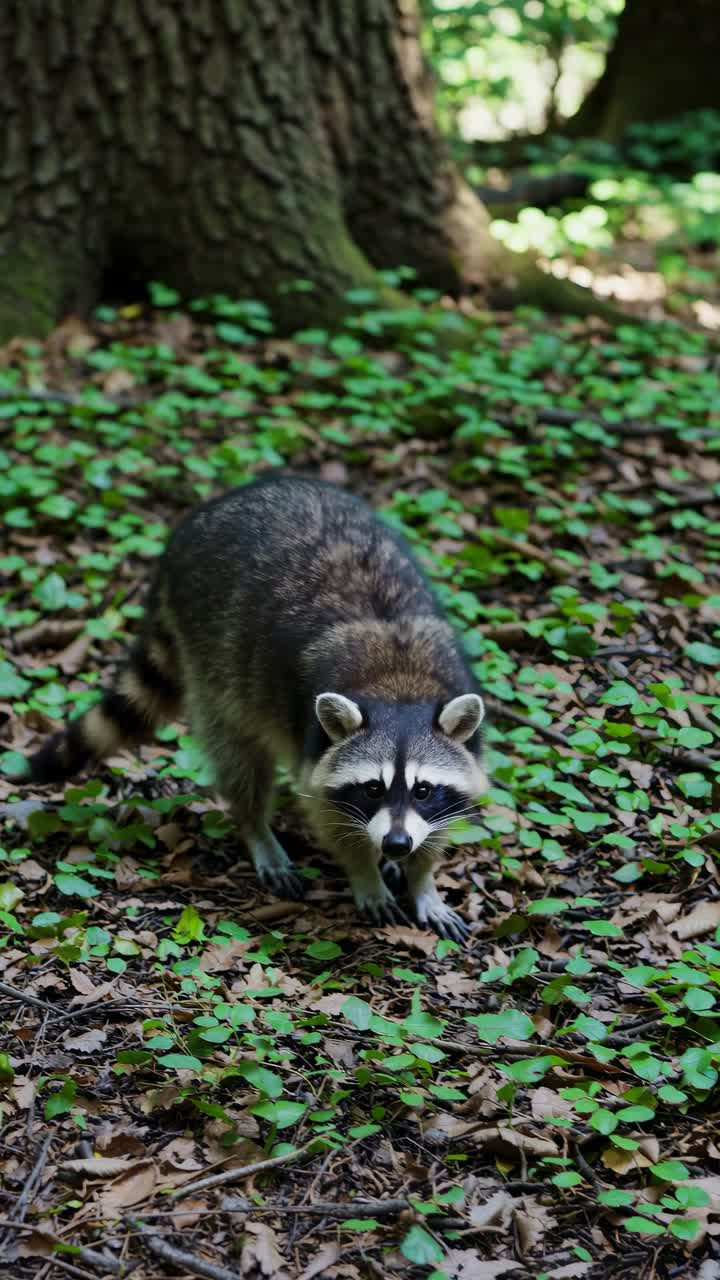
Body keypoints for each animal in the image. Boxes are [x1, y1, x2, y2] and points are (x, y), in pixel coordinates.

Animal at [26, 475, 487, 940]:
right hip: (212, 656)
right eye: (373, 788)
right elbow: (328, 817)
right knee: (239, 755)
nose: (396, 843)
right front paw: (366, 876)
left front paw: (421, 880)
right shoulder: (313, 746)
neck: (399, 688)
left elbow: (439, 824)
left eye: (423, 789)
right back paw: (255, 825)